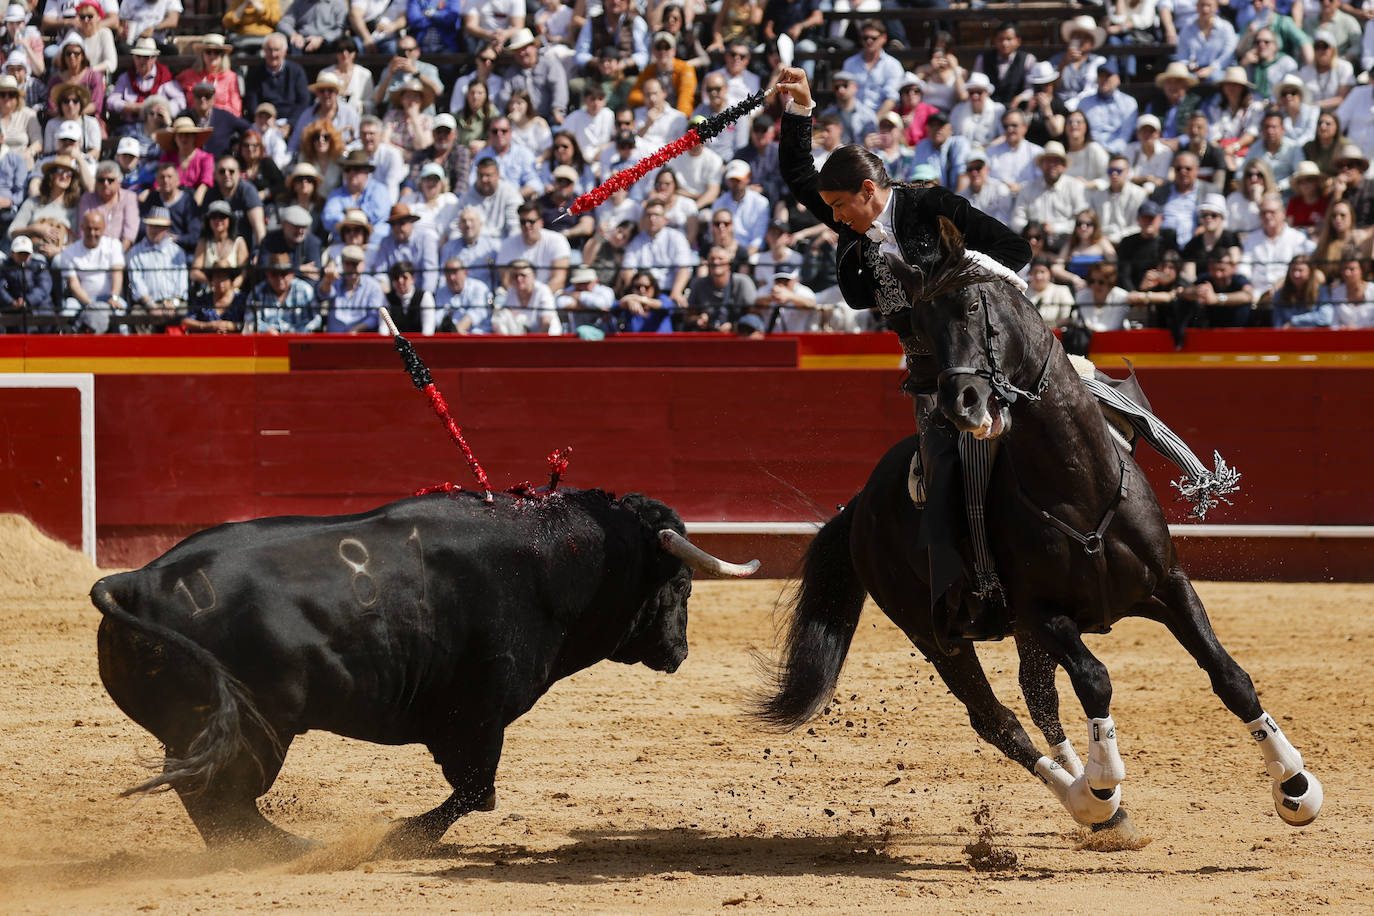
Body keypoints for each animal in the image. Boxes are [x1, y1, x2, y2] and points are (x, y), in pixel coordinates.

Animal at [94, 491, 763, 856]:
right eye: (682, 583)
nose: (679, 652)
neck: (556, 562)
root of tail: (138, 580)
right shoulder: (477, 715)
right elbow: (476, 792)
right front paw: (398, 838)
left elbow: (474, 793)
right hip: (260, 730)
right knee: (222, 798)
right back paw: (292, 849)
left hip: (202, 731)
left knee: (209, 798)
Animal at [758, 219, 1324, 840]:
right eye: (920, 325)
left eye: (976, 306)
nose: (963, 402)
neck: (1077, 484)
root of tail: (859, 505)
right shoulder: (1042, 613)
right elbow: (1095, 679)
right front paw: (1102, 780)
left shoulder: (1167, 584)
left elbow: (1229, 674)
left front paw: (1295, 785)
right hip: (933, 634)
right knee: (997, 719)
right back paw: (1088, 800)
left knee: (1038, 700)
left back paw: (1102, 809)